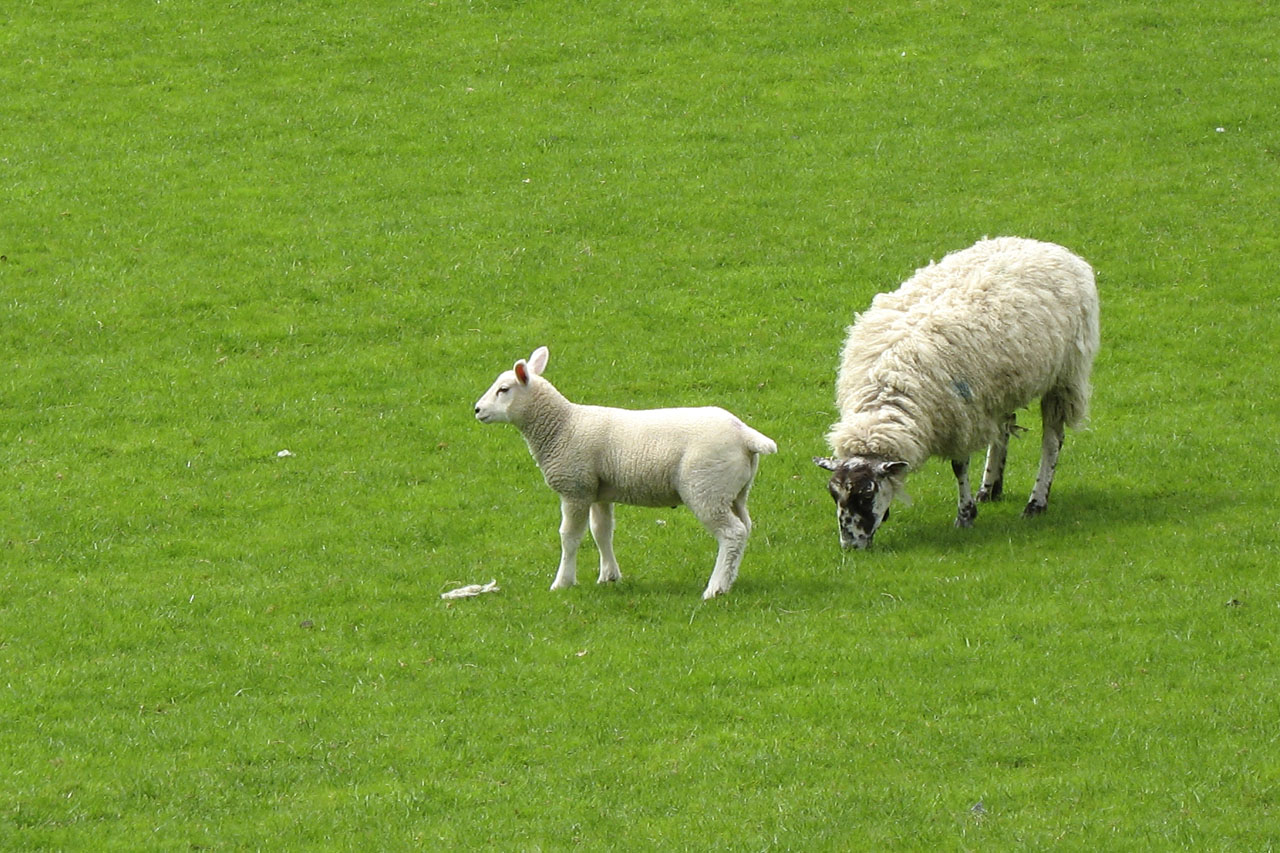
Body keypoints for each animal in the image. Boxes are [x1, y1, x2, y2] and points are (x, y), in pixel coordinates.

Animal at [473, 345, 778, 596]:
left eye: (503, 389)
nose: (476, 409)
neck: (562, 426)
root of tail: (745, 435)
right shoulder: (597, 491)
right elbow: (601, 532)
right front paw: (609, 575)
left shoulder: (575, 488)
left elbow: (569, 537)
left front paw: (562, 582)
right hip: (734, 490)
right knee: (745, 528)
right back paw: (729, 579)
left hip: (705, 488)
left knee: (732, 533)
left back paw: (715, 588)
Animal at [808, 235, 1100, 548]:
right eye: (834, 494)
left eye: (866, 494)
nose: (851, 546)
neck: (888, 388)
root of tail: (1048, 246)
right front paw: (975, 503)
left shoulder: (959, 417)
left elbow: (959, 466)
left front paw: (965, 515)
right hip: (1001, 386)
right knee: (1003, 429)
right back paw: (990, 488)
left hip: (1064, 377)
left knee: (1052, 441)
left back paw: (1036, 502)